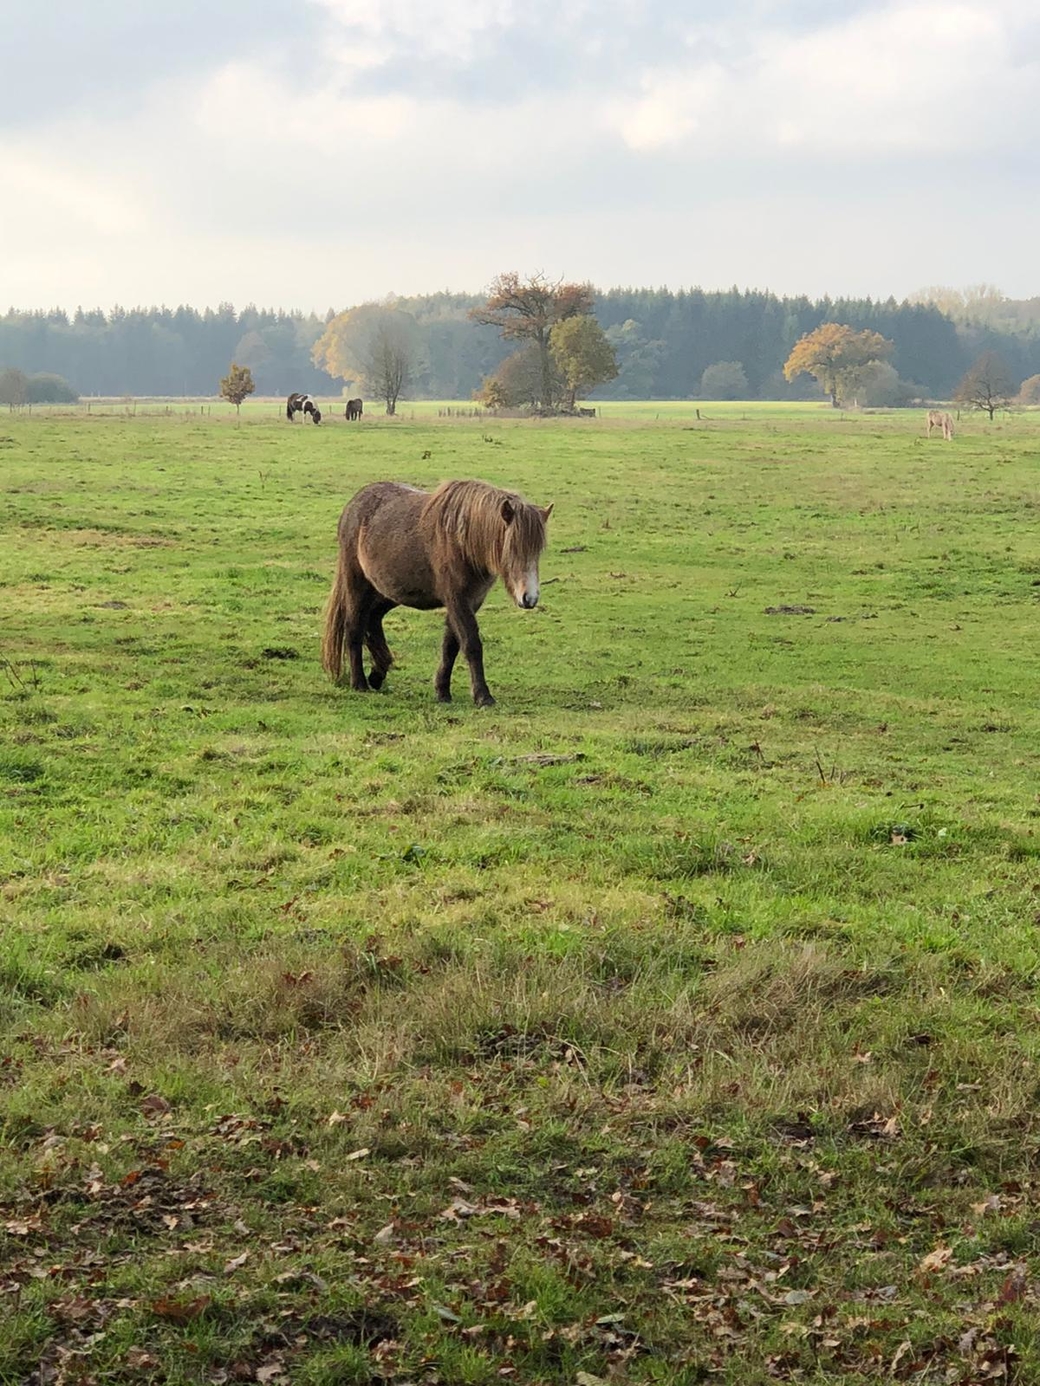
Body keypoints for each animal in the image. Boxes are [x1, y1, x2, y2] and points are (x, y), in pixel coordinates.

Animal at [324, 482, 554, 709]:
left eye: (538, 551)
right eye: (512, 548)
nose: (529, 598)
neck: (463, 543)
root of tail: (353, 505)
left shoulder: (471, 601)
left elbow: (450, 646)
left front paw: (442, 691)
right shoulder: (457, 599)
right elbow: (471, 643)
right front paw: (483, 696)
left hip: (388, 591)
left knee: (372, 620)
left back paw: (378, 674)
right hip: (357, 585)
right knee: (354, 628)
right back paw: (359, 683)